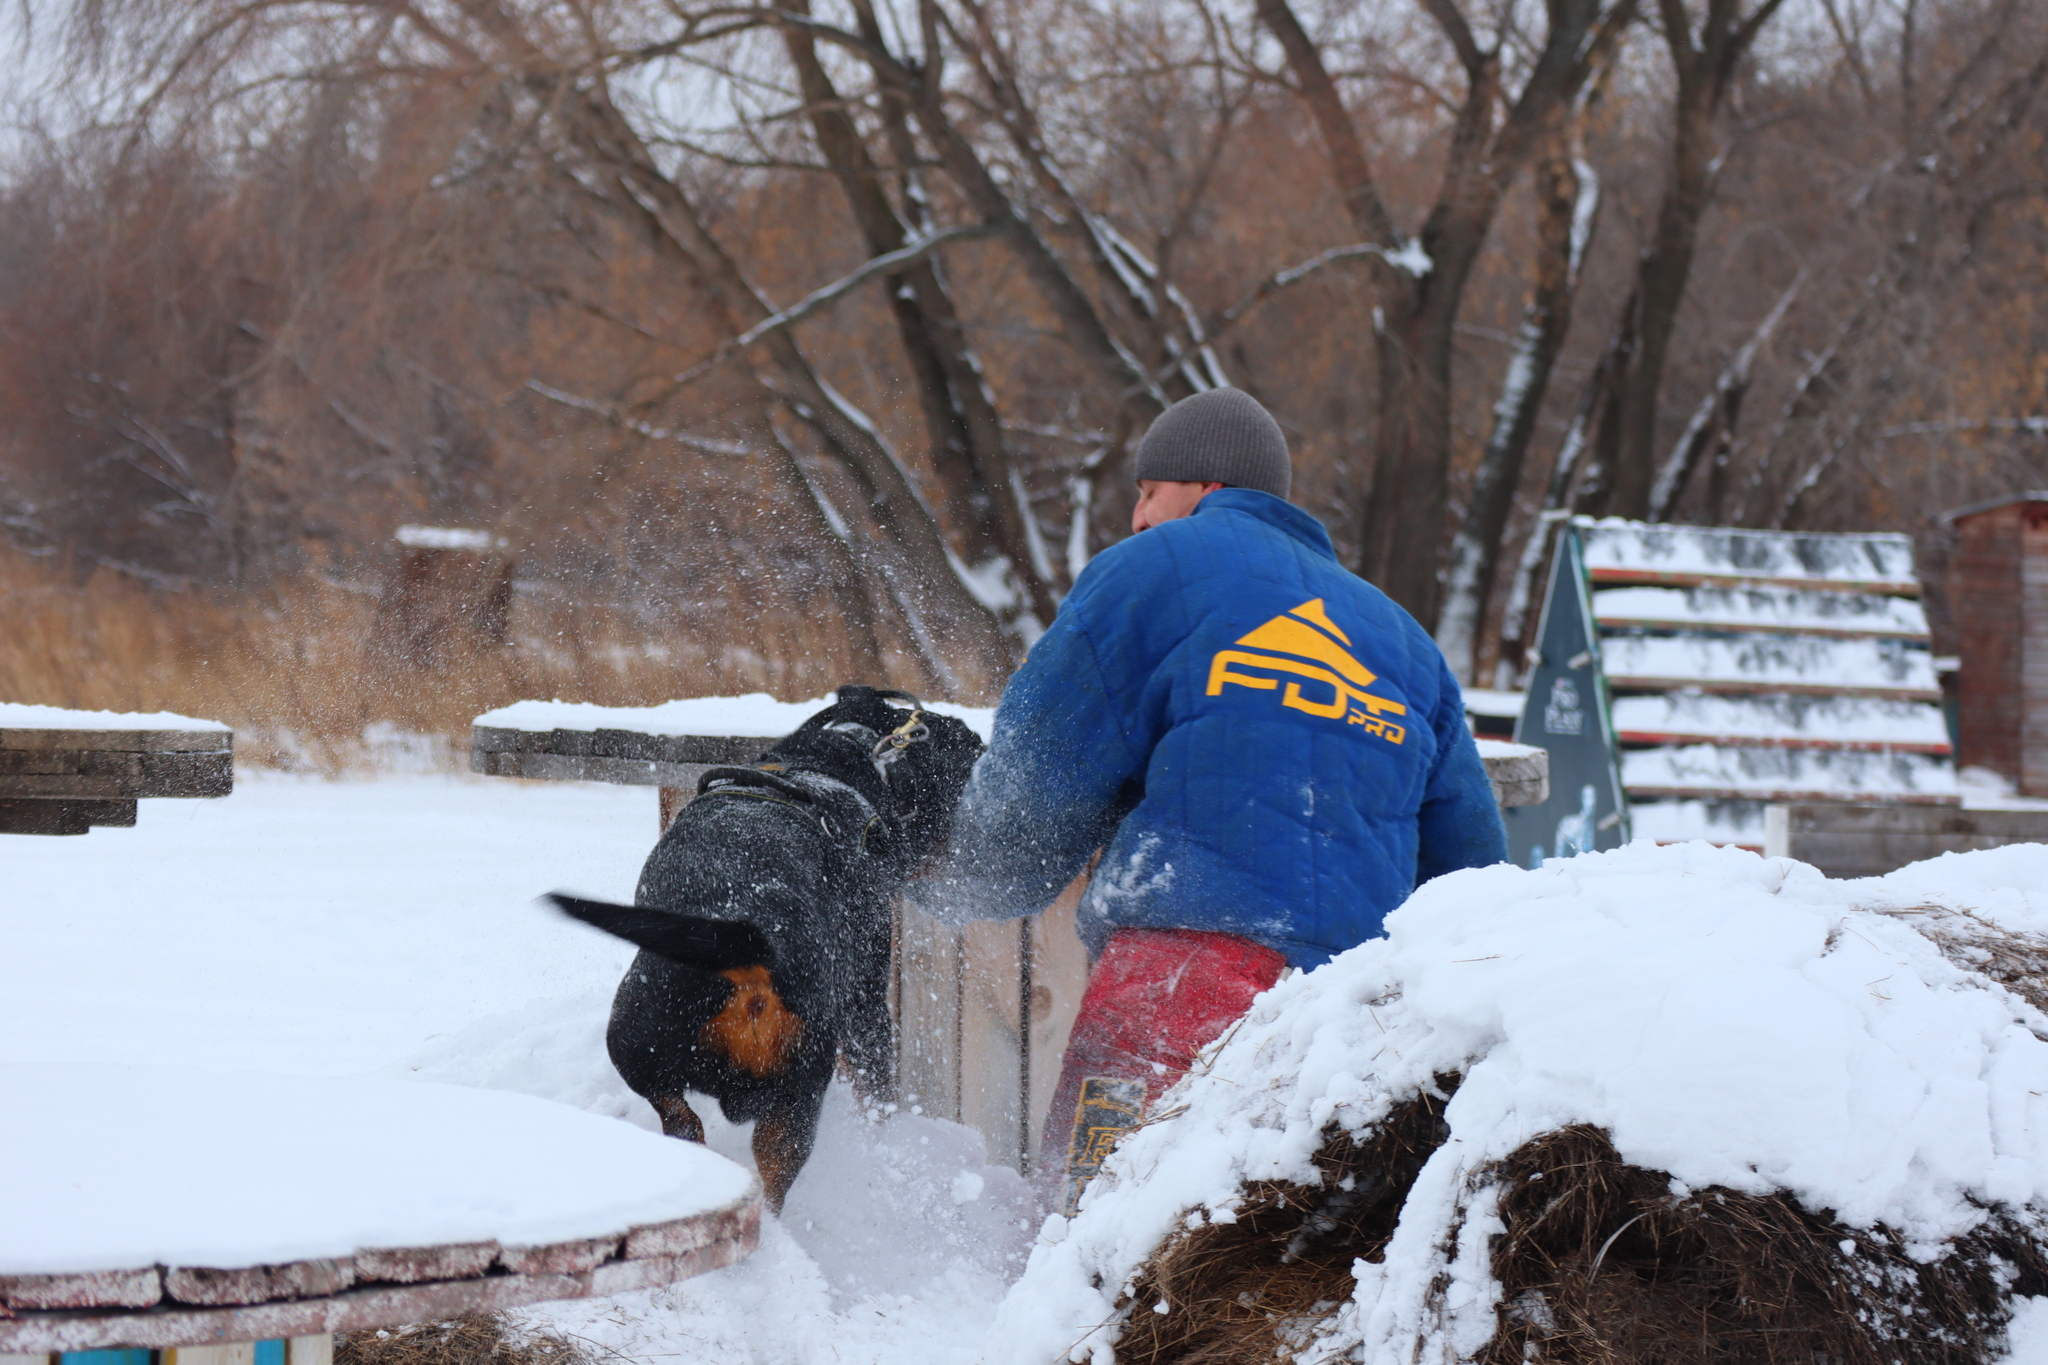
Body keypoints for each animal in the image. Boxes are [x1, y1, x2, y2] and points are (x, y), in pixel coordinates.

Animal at [552, 687, 983, 1211]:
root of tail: (744, 937)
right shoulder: (865, 997)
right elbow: (878, 1089)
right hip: (801, 1084)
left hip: (638, 1034)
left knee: (681, 1117)